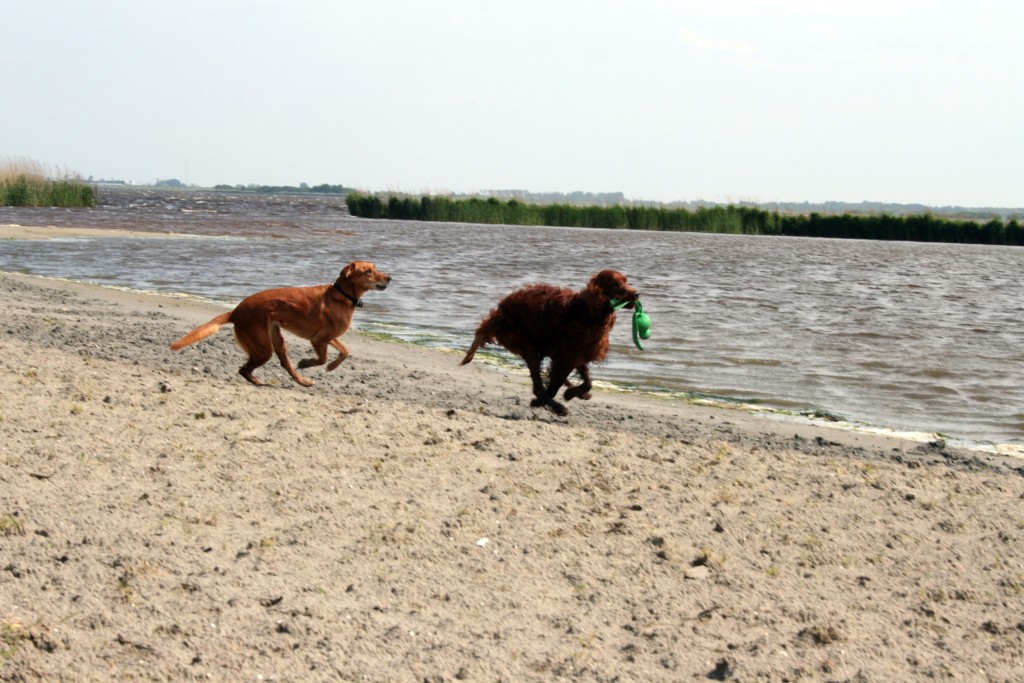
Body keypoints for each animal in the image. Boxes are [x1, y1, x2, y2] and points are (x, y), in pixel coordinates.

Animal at [169, 260, 389, 387]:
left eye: (375, 268)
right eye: (369, 271)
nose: (390, 278)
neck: (342, 296)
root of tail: (235, 311)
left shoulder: (328, 337)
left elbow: (345, 352)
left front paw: (330, 367)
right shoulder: (319, 339)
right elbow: (323, 358)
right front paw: (307, 363)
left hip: (277, 340)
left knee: (284, 364)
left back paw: (301, 381)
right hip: (263, 347)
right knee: (244, 369)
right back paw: (260, 382)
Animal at [464, 270, 638, 413]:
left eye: (626, 280)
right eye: (615, 284)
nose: (637, 293)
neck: (589, 314)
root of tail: (499, 310)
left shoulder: (578, 355)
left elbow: (587, 382)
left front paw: (571, 393)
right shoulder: (566, 357)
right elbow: (554, 387)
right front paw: (541, 401)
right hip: (527, 346)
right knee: (538, 386)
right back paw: (556, 406)